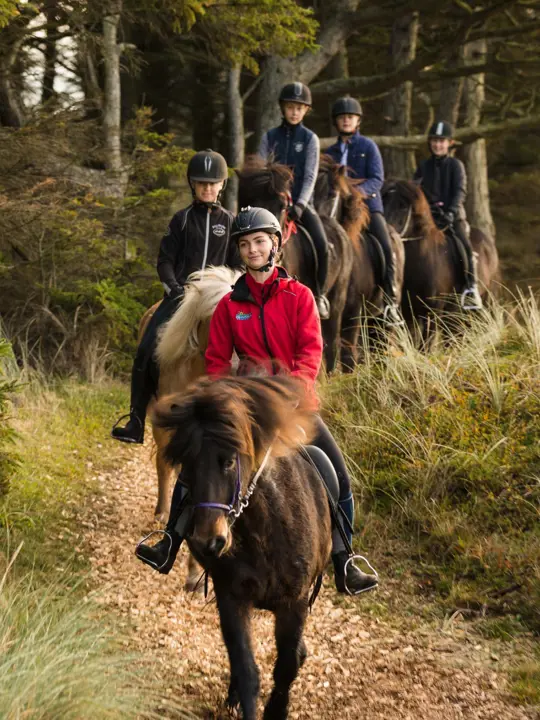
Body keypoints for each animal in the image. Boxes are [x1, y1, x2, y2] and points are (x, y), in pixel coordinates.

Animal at [153, 375, 332, 720]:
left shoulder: (294, 604)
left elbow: (286, 666)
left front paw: (277, 710)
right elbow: (247, 669)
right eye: (186, 465)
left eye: (228, 460)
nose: (208, 541)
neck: (263, 531)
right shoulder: (231, 597)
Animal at [382, 179, 499, 342]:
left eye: (403, 206)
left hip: (487, 301)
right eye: (383, 201)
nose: (388, 232)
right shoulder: (407, 314)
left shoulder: (432, 312)